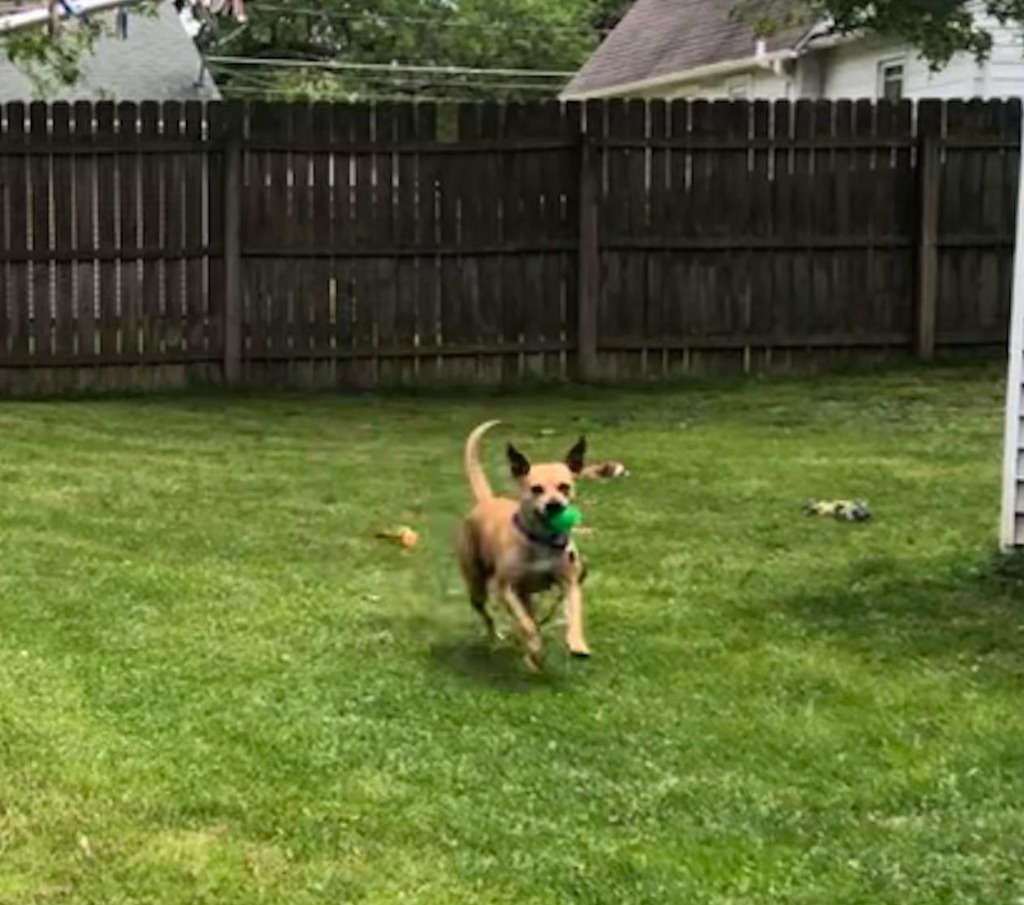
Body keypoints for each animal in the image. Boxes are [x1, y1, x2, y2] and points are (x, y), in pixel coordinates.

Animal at [456, 419, 593, 671]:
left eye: (565, 486)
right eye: (536, 489)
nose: (554, 505)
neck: (542, 542)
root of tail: (487, 500)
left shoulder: (570, 582)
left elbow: (574, 614)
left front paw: (577, 643)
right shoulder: (507, 589)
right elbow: (526, 625)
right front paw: (536, 648)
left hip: (527, 595)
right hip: (477, 586)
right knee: (488, 615)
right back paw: (496, 640)